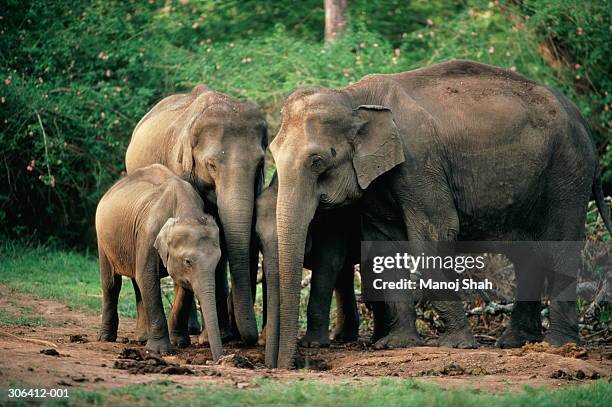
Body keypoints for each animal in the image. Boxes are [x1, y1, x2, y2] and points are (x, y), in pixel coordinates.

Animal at [98, 163, 225, 360]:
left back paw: (142, 338)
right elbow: (148, 277)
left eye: (218, 260)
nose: (219, 359)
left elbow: (182, 285)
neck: (186, 210)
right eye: (188, 261)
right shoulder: (148, 234)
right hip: (103, 240)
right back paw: (106, 338)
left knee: (137, 283)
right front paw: (161, 351)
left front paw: (179, 343)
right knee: (112, 283)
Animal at [125, 84, 266, 346]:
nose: (249, 338)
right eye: (211, 165)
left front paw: (220, 336)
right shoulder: (180, 166)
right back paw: (190, 330)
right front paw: (212, 338)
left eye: (260, 164)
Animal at [268, 59, 612, 368]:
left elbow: (436, 233)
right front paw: (397, 344)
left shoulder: (420, 162)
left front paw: (458, 345)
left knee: (561, 245)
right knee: (528, 254)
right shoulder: (379, 182)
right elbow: (383, 247)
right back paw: (516, 342)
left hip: (568, 171)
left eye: (317, 161)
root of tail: (580, 118)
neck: (353, 97)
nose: (289, 366)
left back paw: (559, 345)